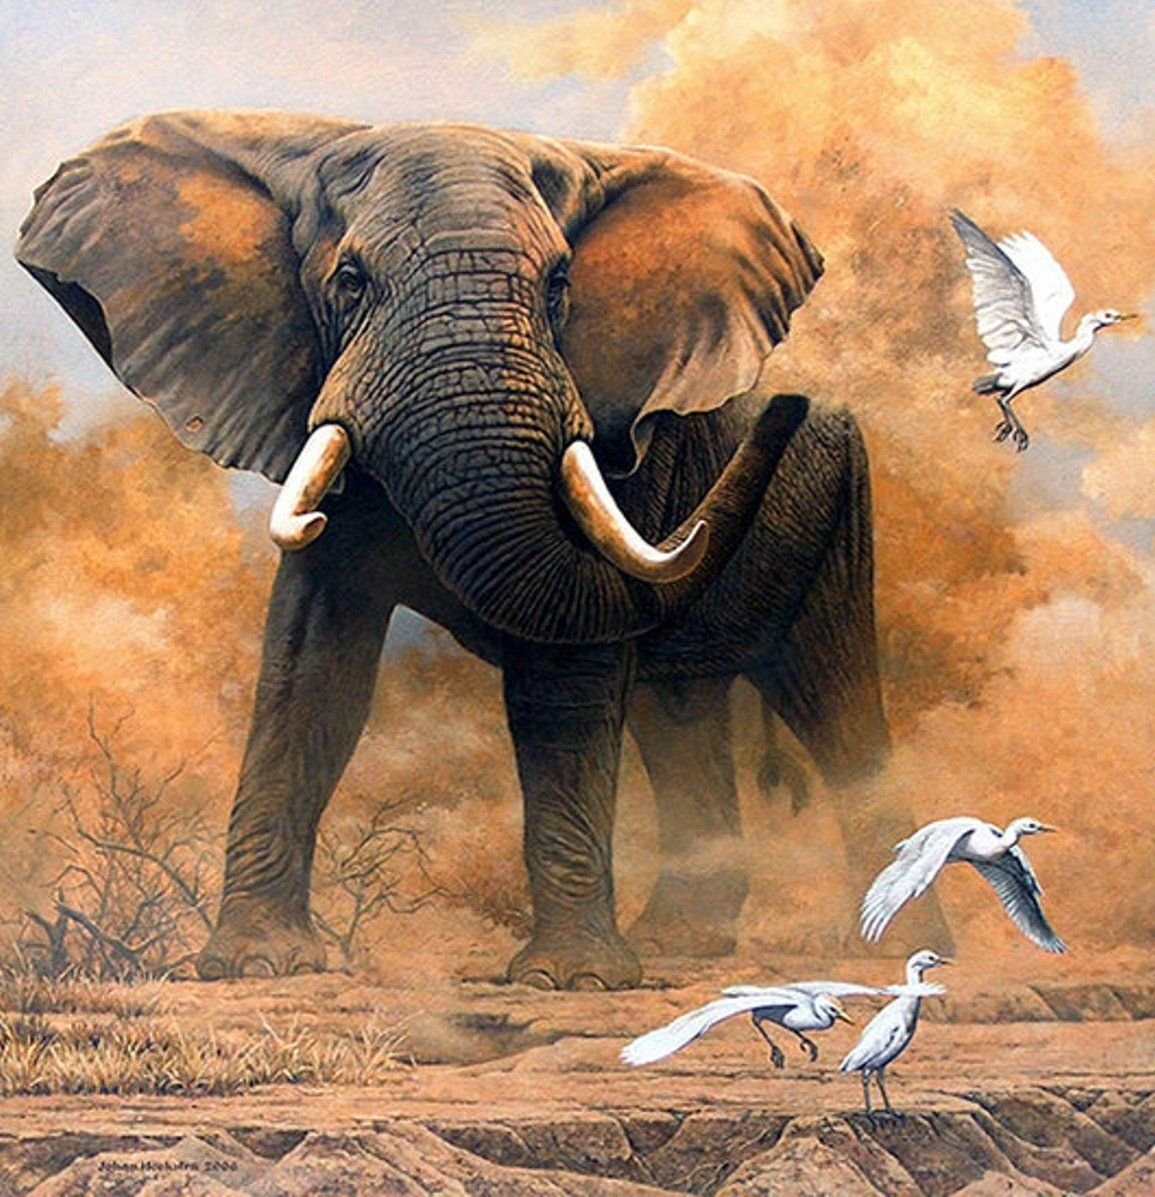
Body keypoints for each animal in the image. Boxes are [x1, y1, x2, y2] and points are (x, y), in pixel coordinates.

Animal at [17, 110, 908, 990]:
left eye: (558, 285)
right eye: (350, 281)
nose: (786, 405)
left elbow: (561, 687)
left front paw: (571, 981)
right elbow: (311, 670)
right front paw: (252, 964)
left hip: (836, 509)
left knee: (836, 708)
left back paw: (886, 949)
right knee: (679, 713)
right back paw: (681, 944)